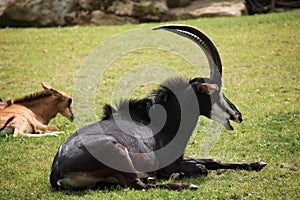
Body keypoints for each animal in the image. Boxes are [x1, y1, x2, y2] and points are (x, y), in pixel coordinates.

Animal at [49, 25, 268, 191]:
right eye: (217, 92)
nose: (238, 115)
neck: (161, 123)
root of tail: (58, 170)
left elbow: (212, 160)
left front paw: (257, 163)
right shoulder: (170, 163)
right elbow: (202, 167)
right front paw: (179, 175)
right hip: (120, 155)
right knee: (139, 185)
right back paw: (185, 185)